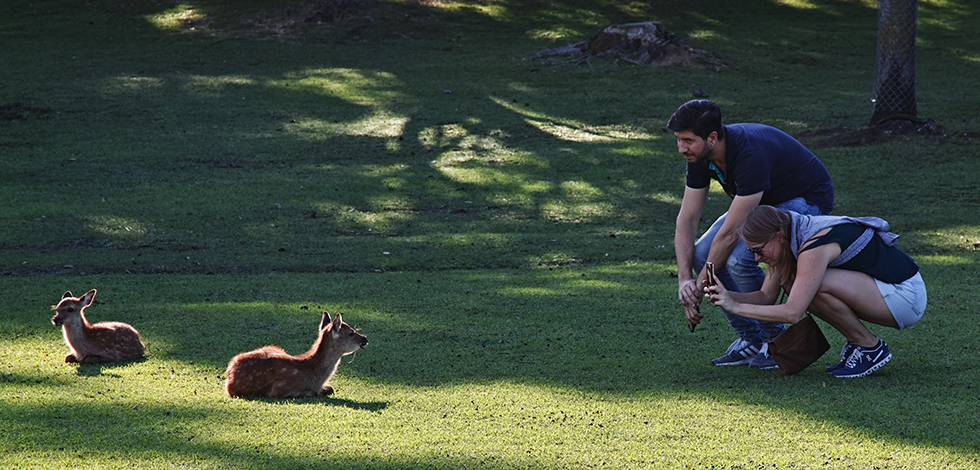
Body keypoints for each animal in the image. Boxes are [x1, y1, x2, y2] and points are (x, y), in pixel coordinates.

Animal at [224, 310, 370, 398]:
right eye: (351, 333)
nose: (365, 338)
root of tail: (229, 373)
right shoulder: (280, 389)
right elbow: (314, 392)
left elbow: (330, 388)